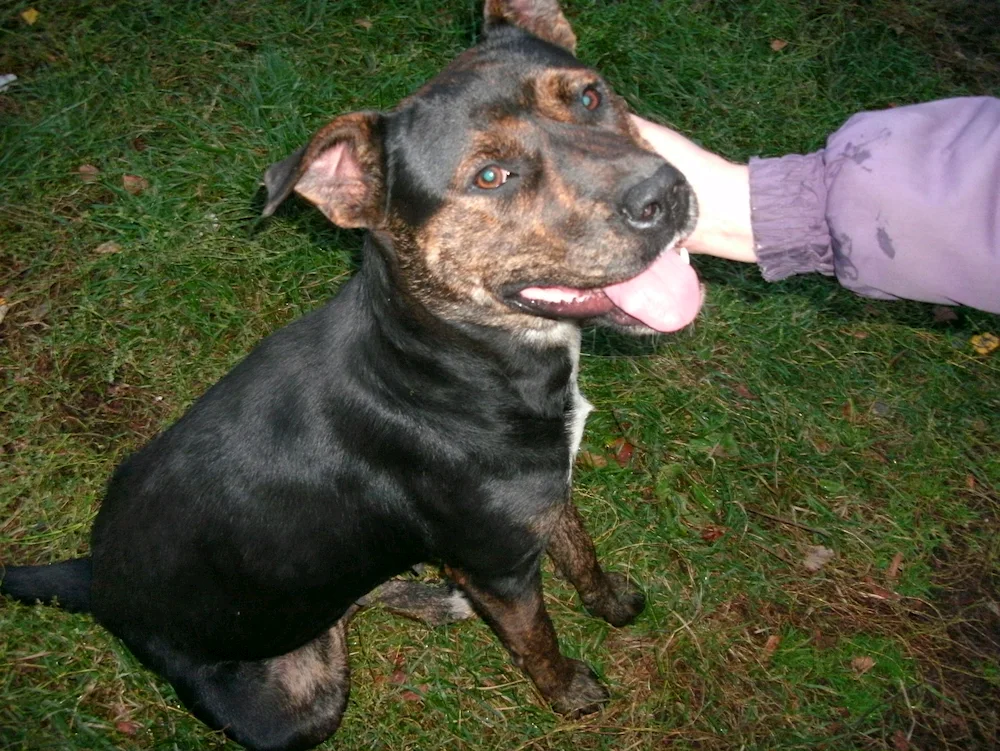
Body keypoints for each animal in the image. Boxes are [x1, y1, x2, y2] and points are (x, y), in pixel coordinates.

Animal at [0, 2, 704, 748]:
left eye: (590, 96)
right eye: (490, 177)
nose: (665, 193)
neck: (447, 360)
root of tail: (93, 580)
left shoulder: (543, 499)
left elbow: (581, 549)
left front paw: (612, 601)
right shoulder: (500, 567)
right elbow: (537, 639)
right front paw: (569, 693)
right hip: (297, 706)